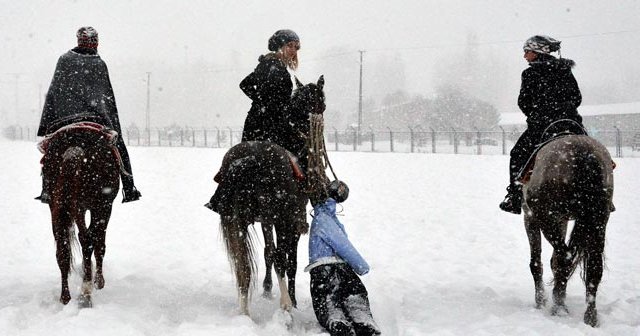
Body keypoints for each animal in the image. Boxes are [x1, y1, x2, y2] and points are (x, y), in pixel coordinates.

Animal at [42, 122, 124, 308]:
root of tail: (74, 148)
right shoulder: (104, 207)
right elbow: (100, 243)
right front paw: (99, 281)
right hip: (89, 205)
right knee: (87, 240)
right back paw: (86, 292)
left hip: (60, 207)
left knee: (62, 248)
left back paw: (65, 297)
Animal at [216, 75, 324, 316]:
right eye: (322, 102)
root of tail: (248, 159)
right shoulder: (289, 221)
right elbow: (289, 259)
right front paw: (292, 299)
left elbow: (268, 254)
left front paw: (266, 289)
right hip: (270, 216)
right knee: (276, 256)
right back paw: (285, 303)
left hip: (237, 219)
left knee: (243, 261)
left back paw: (245, 310)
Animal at [524, 134, 616, 326]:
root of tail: (583, 152)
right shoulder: (563, 220)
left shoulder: (530, 217)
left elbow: (537, 263)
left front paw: (540, 301)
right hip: (599, 221)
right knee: (594, 267)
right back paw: (590, 317)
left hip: (546, 219)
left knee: (564, 258)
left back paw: (558, 306)